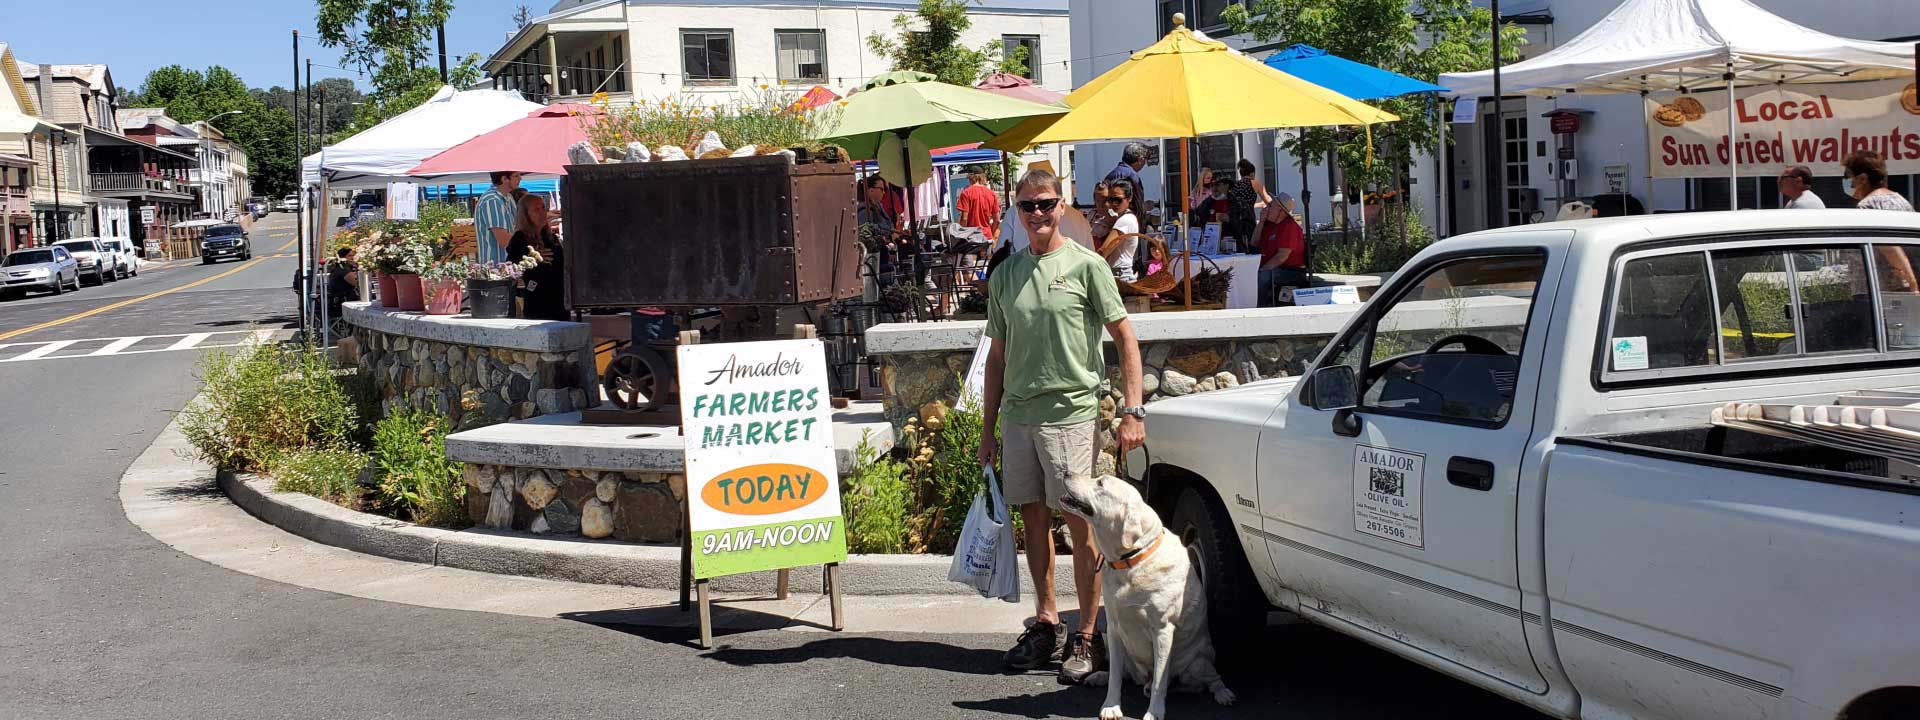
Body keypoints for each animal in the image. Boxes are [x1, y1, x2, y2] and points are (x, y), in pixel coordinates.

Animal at [1059, 476, 1236, 718]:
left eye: (1101, 483)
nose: (1067, 473)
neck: (1132, 560)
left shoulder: (1162, 630)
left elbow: (1161, 681)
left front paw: (1154, 712)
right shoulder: (1114, 628)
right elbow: (1115, 677)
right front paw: (1111, 706)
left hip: (1198, 662)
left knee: (1204, 681)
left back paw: (1222, 693)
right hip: (1122, 650)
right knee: (1126, 674)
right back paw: (1101, 677)